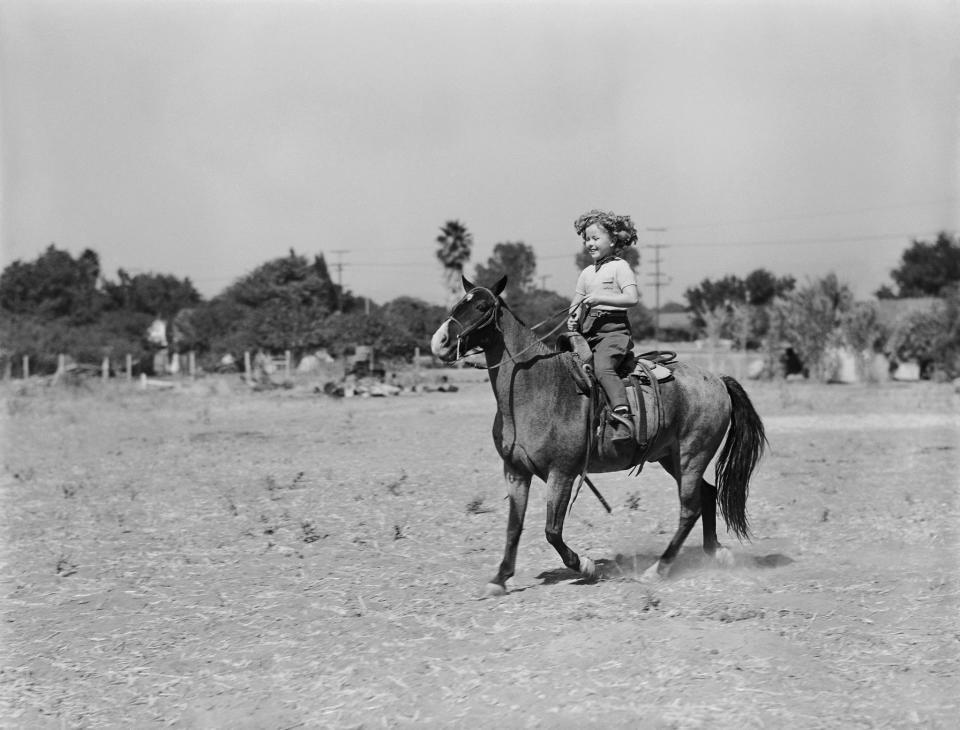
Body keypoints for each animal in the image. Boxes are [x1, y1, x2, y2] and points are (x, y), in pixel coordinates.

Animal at [432, 276, 768, 596]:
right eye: (458, 303)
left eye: (481, 307)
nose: (440, 341)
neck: (535, 388)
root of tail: (718, 380)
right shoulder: (515, 471)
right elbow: (514, 527)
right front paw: (499, 579)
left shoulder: (562, 473)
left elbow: (552, 531)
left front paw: (586, 565)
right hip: (671, 457)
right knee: (708, 493)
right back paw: (716, 552)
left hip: (692, 456)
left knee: (690, 509)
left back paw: (659, 569)